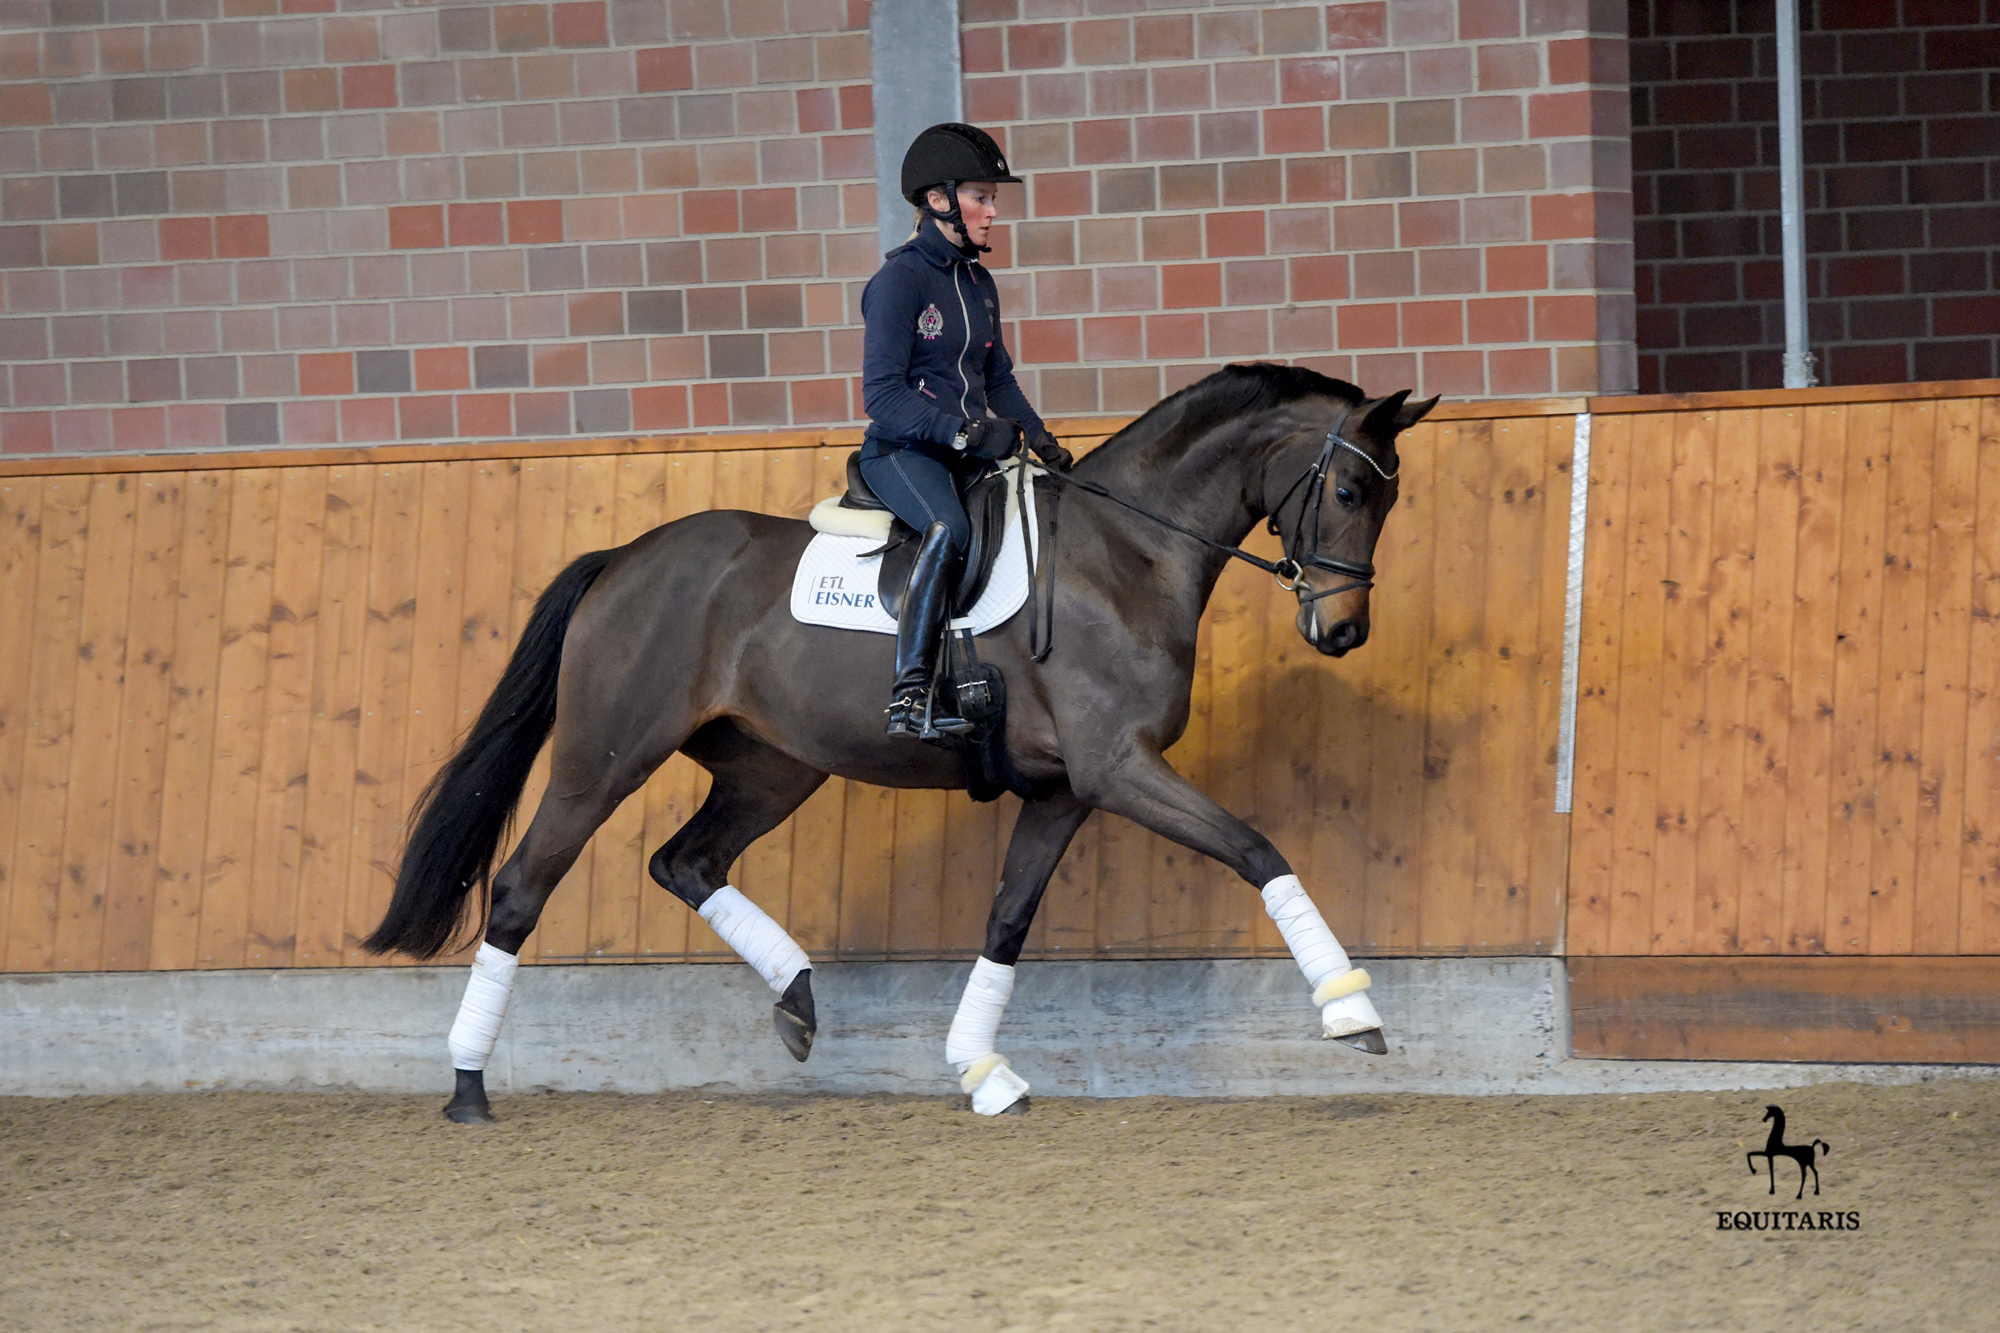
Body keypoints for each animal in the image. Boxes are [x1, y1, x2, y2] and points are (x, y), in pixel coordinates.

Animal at [364, 360, 1440, 1112]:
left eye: (1392, 501)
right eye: (1349, 494)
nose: (1342, 631)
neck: (1125, 553)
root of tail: (626, 555)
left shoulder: (1065, 790)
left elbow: (1006, 921)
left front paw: (980, 1069)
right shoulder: (1119, 767)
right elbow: (1257, 848)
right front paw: (1352, 1010)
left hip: (770, 768)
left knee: (685, 861)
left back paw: (796, 1000)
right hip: (604, 758)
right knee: (520, 888)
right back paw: (467, 1087)